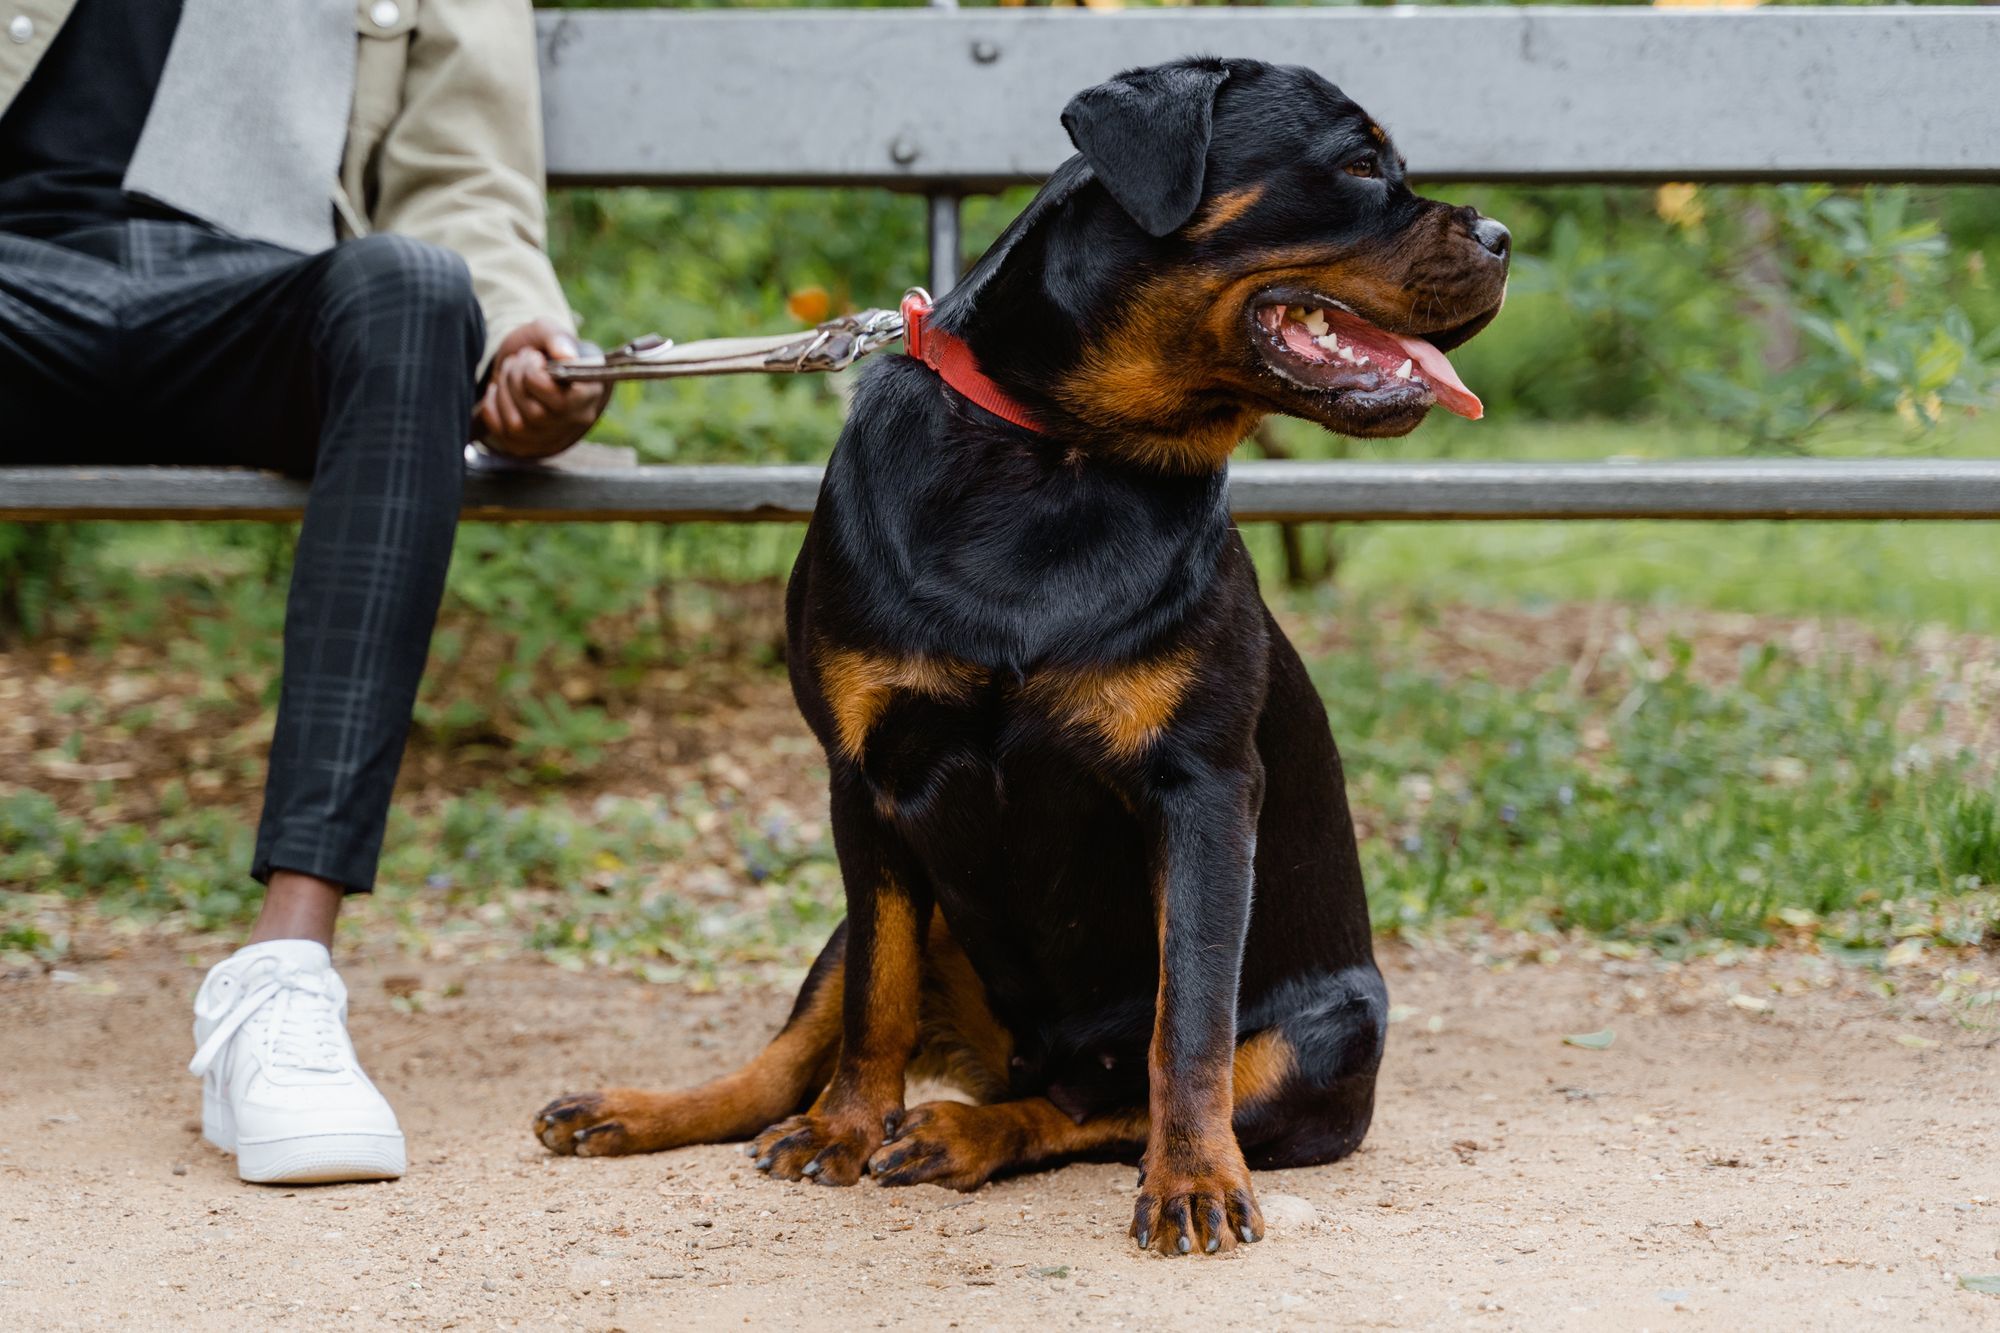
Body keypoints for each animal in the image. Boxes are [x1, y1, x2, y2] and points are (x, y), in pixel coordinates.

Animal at [540, 54, 1504, 1256]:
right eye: (1360, 165)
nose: (1502, 234)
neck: (1060, 455)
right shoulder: (862, 780)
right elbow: (876, 1000)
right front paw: (844, 1127)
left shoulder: (1199, 787)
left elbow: (1187, 1027)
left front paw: (1193, 1179)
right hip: (876, 917)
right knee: (797, 1049)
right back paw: (651, 1109)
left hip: (1323, 1037)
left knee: (1093, 1105)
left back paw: (966, 1133)